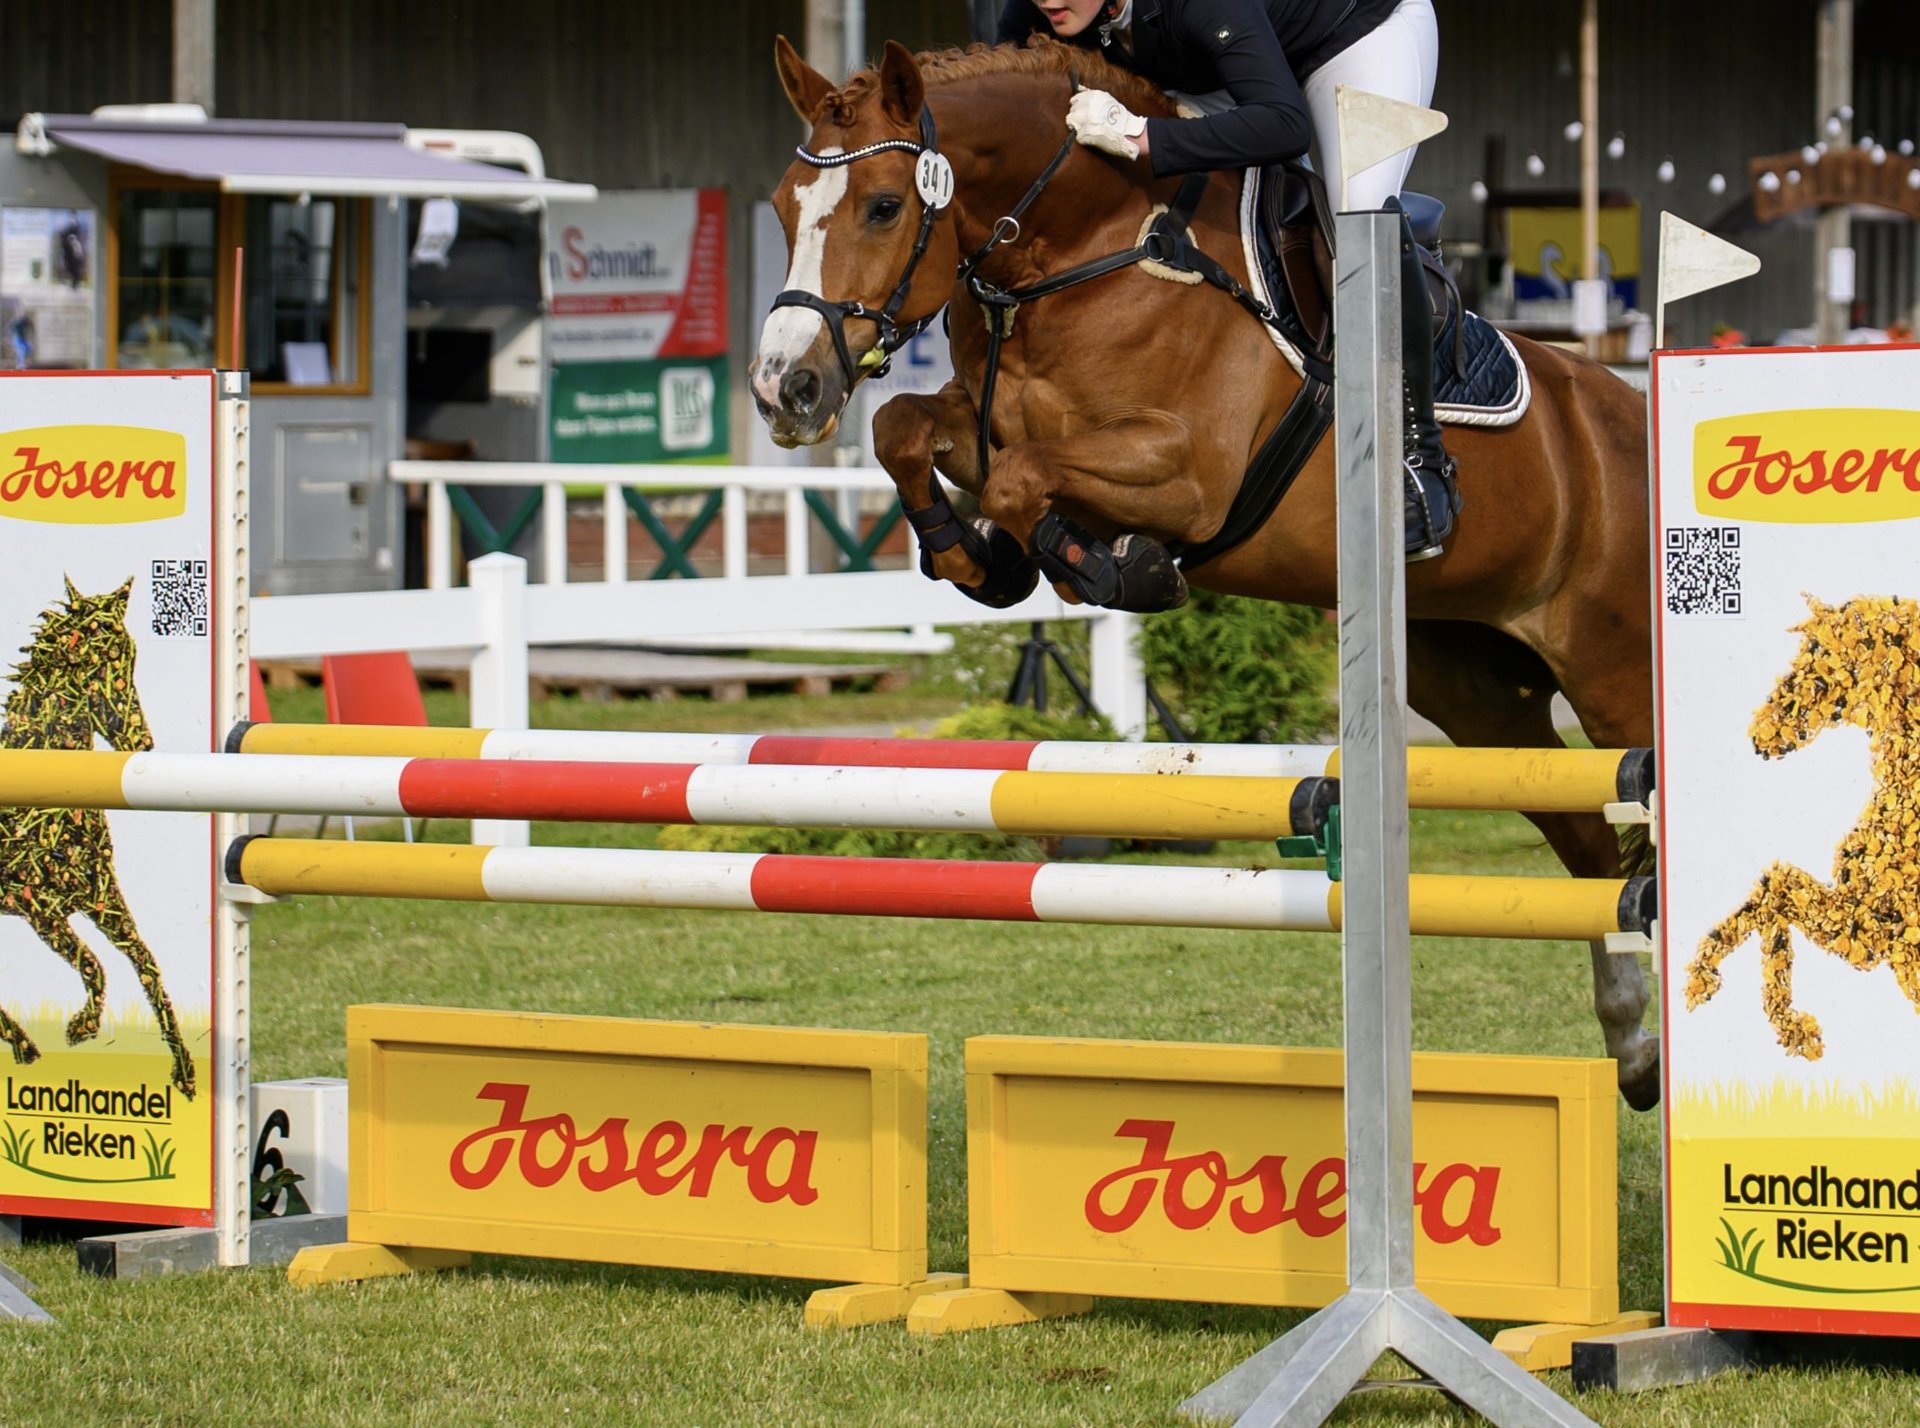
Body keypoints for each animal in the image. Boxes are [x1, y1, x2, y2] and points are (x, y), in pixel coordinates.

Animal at [0, 575, 197, 1090]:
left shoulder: (101, 896)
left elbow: (145, 964)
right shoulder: (37, 907)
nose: (141, 741)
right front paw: (80, 1027)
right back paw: (25, 1044)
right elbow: (94, 964)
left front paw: (185, 1073)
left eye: (130, 654)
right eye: (98, 659)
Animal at [756, 30, 1658, 1105]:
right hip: (1479, 694)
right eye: (781, 207)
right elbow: (910, 430)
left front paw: (1117, 568)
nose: (784, 389)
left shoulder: (1188, 473)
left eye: (885, 206)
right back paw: (1635, 1048)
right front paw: (978, 561)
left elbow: (1025, 481)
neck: (1081, 252)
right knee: (1594, 851)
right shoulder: (981, 422)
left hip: (1618, 675)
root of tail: (1631, 411)